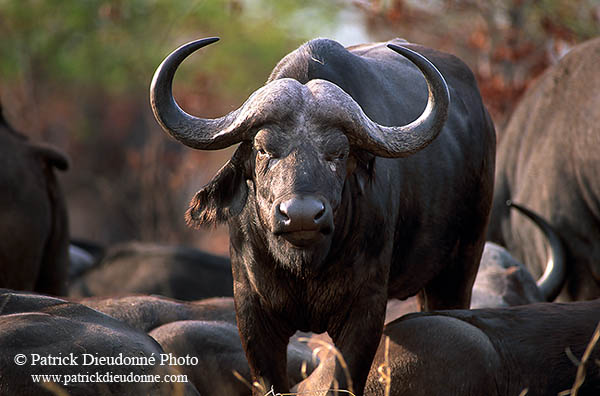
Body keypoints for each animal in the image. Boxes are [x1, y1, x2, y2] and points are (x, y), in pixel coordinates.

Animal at [151, 36, 496, 392]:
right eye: (263, 149)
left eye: (338, 153)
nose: (301, 215)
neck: (304, 264)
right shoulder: (250, 310)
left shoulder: (366, 309)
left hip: (462, 263)